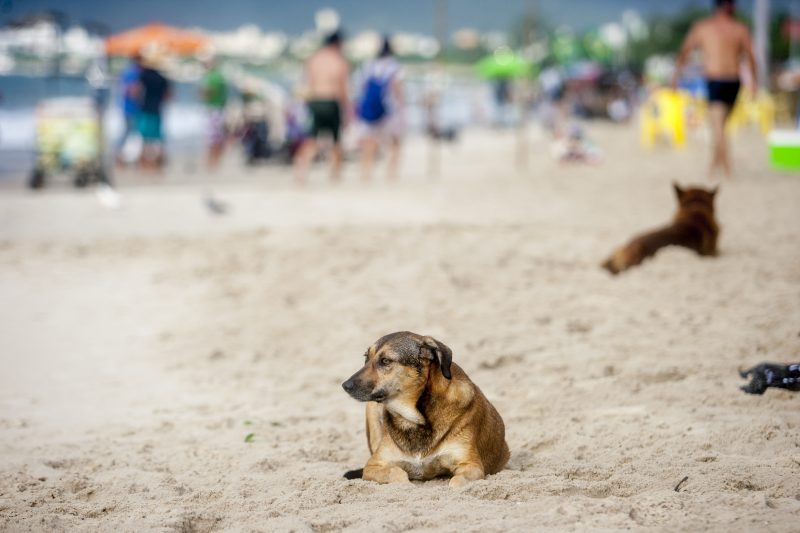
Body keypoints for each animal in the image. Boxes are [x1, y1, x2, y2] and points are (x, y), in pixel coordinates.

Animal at [340, 330, 510, 488]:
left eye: (386, 361)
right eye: (366, 358)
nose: (345, 385)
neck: (415, 420)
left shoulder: (471, 465)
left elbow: (456, 482)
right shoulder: (373, 466)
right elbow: (396, 473)